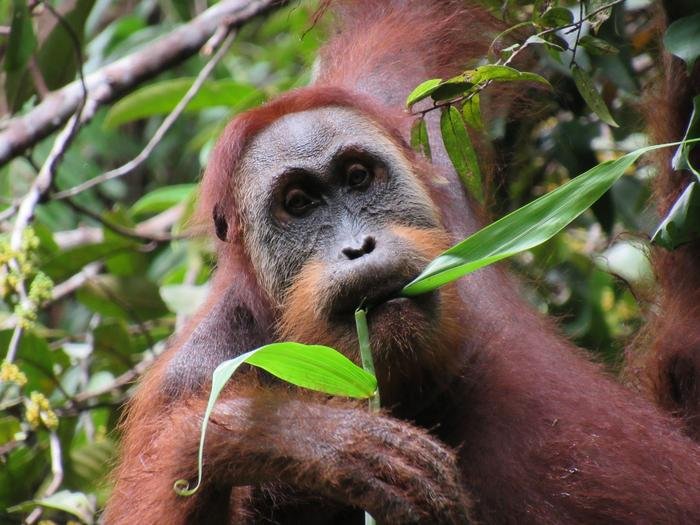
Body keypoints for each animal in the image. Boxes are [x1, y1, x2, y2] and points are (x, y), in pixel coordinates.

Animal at [104, 1, 700, 523]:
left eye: (358, 177)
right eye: (299, 205)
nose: (358, 246)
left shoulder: (409, 110)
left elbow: (404, 19)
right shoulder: (190, 376)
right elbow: (188, 456)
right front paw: (299, 437)